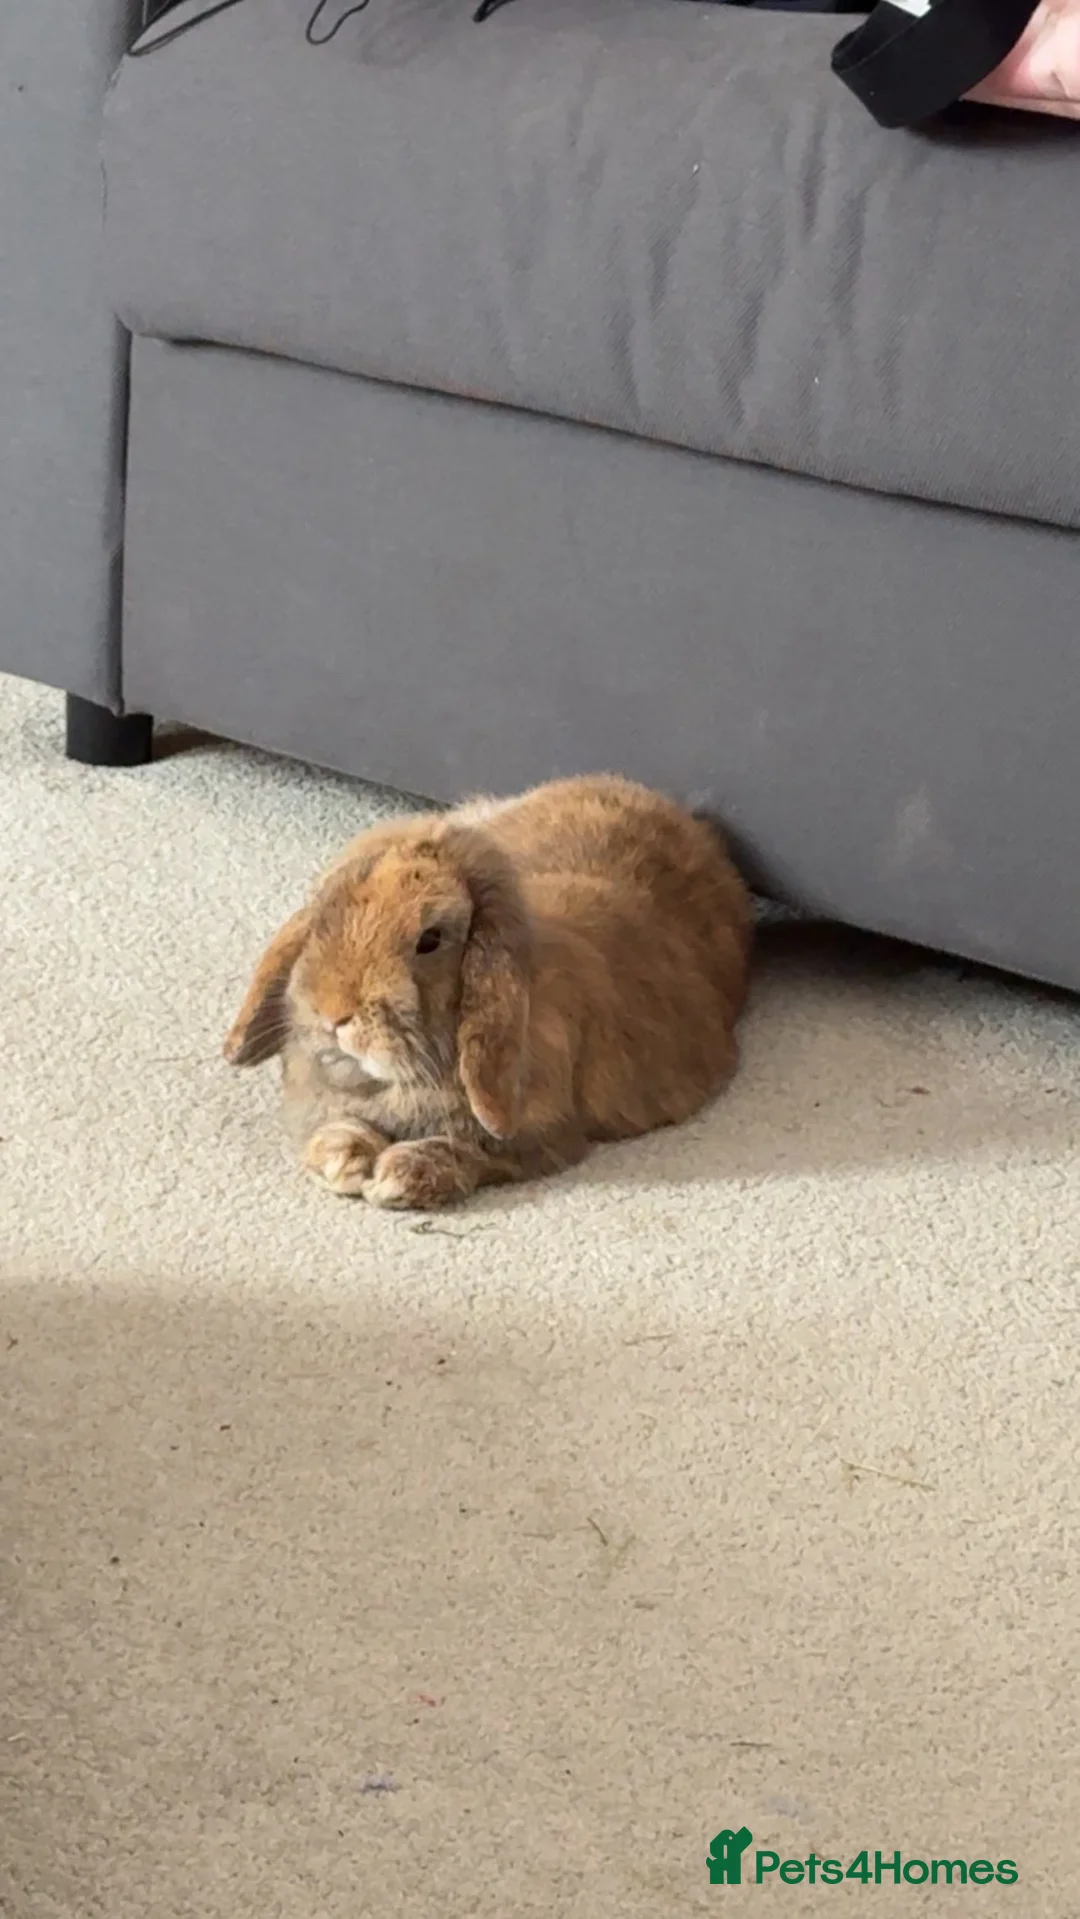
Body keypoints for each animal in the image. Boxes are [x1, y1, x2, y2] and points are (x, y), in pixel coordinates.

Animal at [223, 774, 753, 1210]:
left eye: (431, 939)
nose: (334, 1015)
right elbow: (336, 1126)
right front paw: (343, 1160)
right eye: (324, 916)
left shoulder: (537, 1141)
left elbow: (469, 1152)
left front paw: (398, 1178)